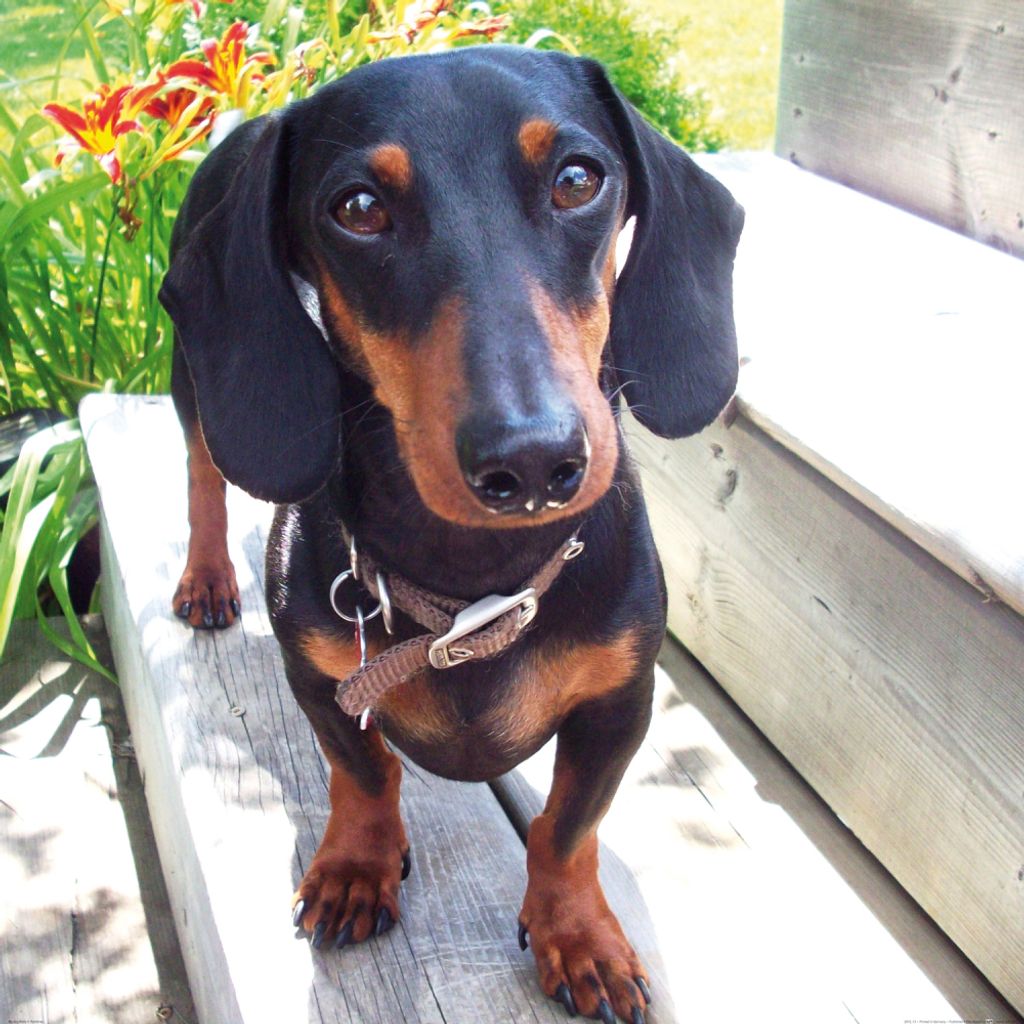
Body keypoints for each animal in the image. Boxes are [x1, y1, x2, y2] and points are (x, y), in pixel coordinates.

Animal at [159, 45, 742, 1024]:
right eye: (358, 207)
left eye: (578, 179)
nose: (534, 460)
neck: (477, 583)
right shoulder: (320, 680)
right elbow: (363, 772)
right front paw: (356, 867)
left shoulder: (619, 704)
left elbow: (567, 827)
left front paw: (580, 935)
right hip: (191, 376)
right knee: (203, 472)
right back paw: (207, 576)